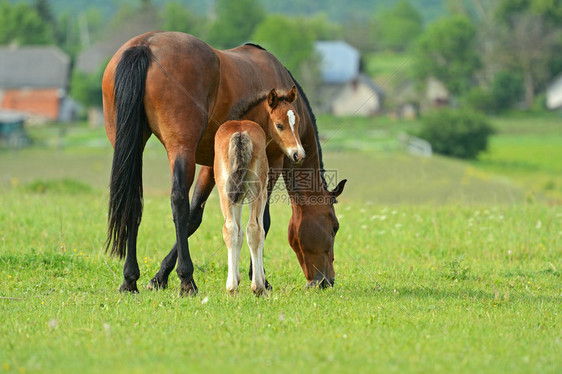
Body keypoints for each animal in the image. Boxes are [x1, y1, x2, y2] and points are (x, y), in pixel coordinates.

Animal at [102, 32, 344, 296]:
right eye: (334, 227)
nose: (326, 280)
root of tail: (145, 45)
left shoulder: (212, 166)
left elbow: (195, 216)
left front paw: (160, 276)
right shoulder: (272, 162)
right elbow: (262, 221)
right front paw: (260, 279)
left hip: (132, 146)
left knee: (133, 202)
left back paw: (130, 279)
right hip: (181, 148)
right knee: (178, 200)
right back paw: (187, 279)